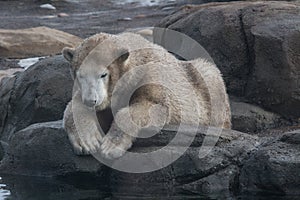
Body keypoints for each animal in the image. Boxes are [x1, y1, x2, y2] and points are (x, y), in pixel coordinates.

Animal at [62, 32, 231, 159]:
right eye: (80, 75)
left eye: (103, 74)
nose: (91, 101)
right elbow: (73, 107)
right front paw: (87, 142)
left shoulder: (151, 76)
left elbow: (151, 105)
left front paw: (110, 147)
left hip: (205, 84)